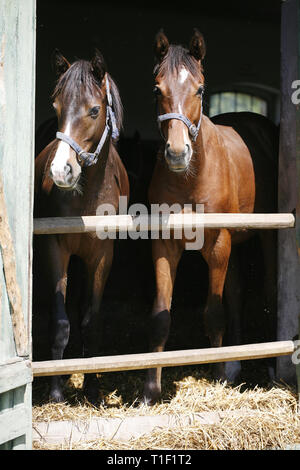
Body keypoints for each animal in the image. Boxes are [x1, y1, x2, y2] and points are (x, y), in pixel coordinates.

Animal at [34, 50, 129, 404]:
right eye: (56, 106)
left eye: (94, 110)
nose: (61, 171)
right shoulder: (55, 249)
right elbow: (59, 322)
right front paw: (56, 390)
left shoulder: (102, 256)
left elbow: (91, 321)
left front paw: (92, 389)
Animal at [144, 30, 278, 404]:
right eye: (157, 89)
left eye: (200, 89)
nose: (177, 153)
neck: (191, 177)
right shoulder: (165, 246)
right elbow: (160, 317)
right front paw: (150, 391)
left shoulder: (218, 244)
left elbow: (214, 313)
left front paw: (217, 378)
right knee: (236, 292)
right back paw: (233, 364)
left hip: (264, 237)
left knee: (268, 290)